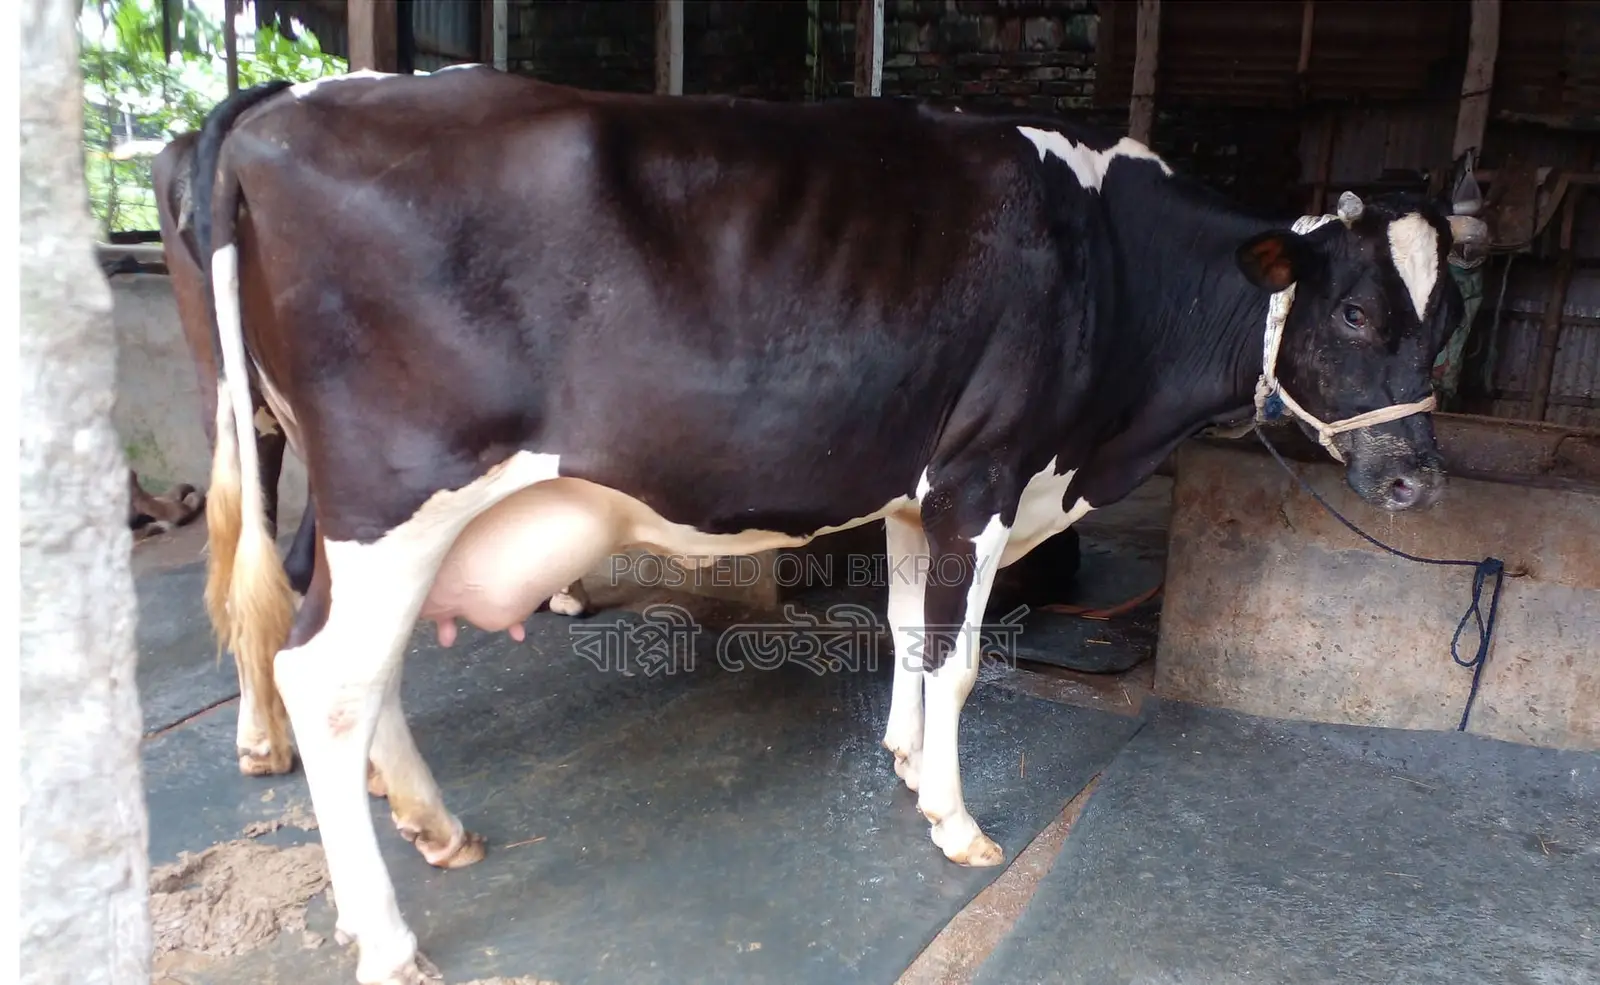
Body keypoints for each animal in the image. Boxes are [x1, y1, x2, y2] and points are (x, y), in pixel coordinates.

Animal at [189, 68, 1477, 983]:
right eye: (1354, 312)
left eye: (1450, 316)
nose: (1416, 480)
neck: (1114, 269)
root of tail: (291, 100)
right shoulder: (981, 474)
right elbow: (958, 659)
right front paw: (954, 820)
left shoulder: (918, 490)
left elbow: (908, 630)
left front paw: (904, 761)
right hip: (394, 495)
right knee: (326, 680)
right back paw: (389, 934)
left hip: (363, 514)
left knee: (353, 662)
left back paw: (433, 823)